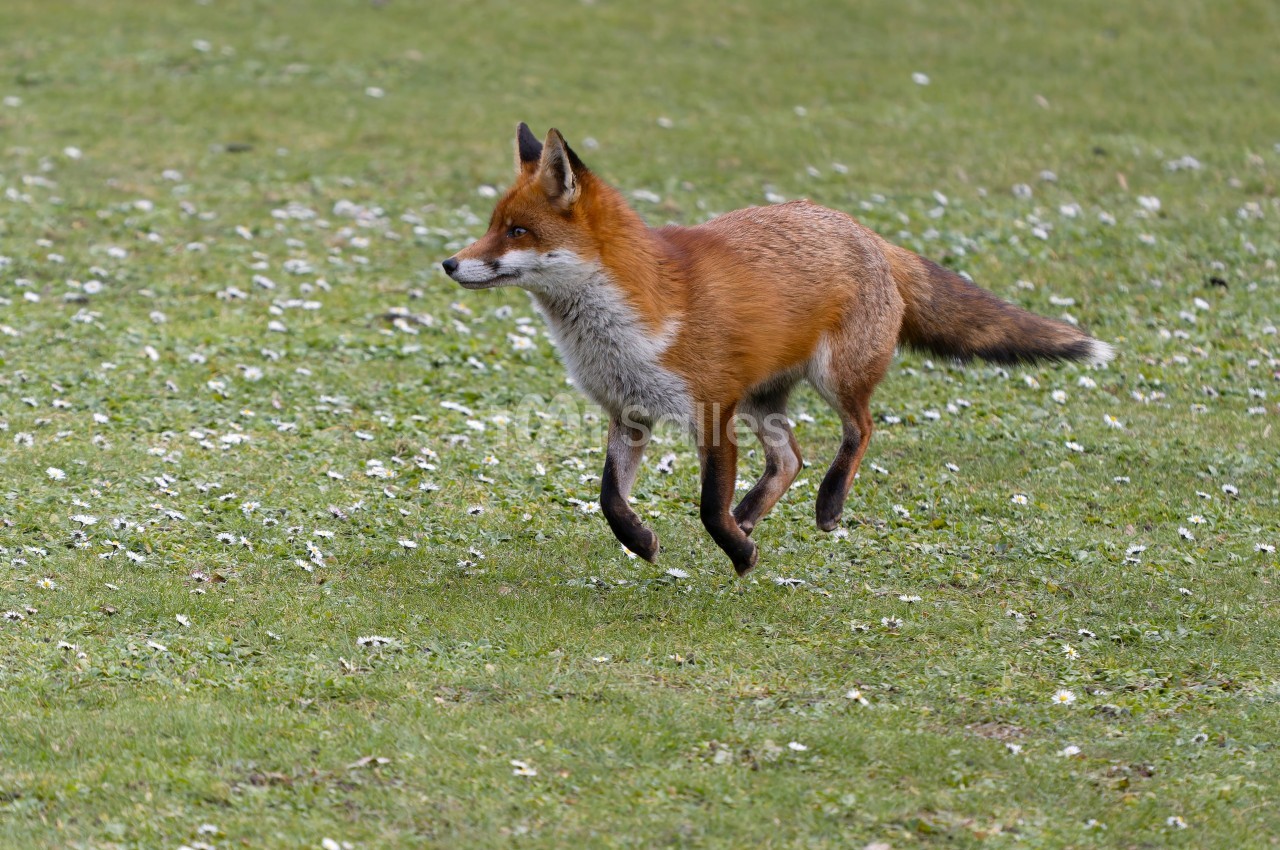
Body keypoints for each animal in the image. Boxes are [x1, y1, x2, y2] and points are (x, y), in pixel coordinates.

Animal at [443, 124, 1113, 575]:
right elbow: (610, 498)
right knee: (790, 457)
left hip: (834, 378)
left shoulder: (712, 411)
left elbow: (707, 507)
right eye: (491, 226)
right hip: (764, 401)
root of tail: (865, 232)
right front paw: (643, 541)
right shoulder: (630, 411)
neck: (620, 325)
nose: (449, 263)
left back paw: (827, 504)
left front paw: (739, 555)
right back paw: (754, 511)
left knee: (860, 431)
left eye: (517, 232)